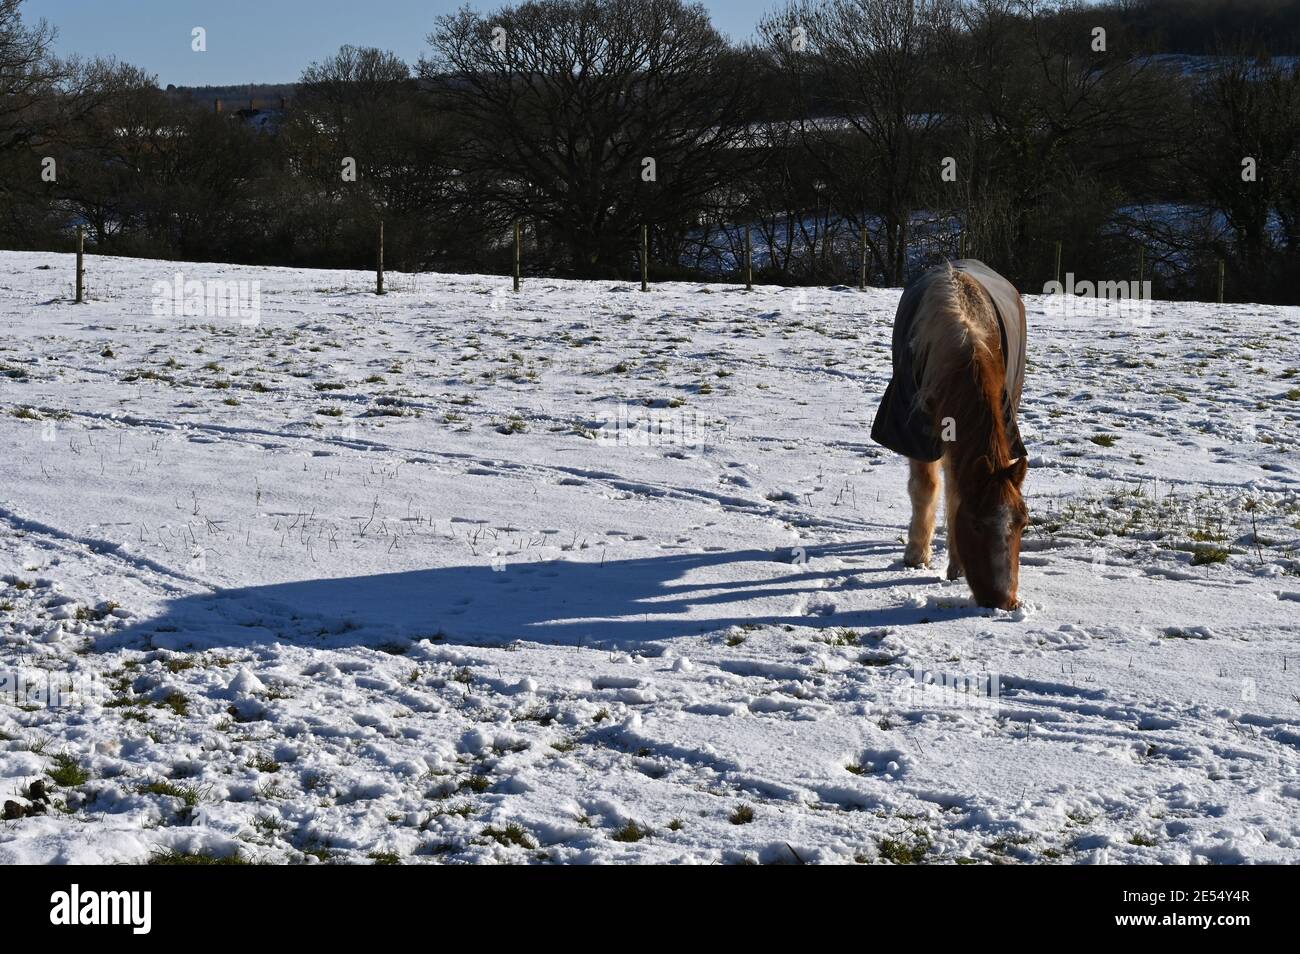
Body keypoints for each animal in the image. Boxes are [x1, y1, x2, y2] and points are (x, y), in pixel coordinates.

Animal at [868, 261, 1029, 608]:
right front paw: (916, 555)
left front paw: (955, 566)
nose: (1003, 602)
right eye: (977, 524)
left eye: (1023, 523)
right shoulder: (912, 431)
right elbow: (925, 489)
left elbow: (955, 490)